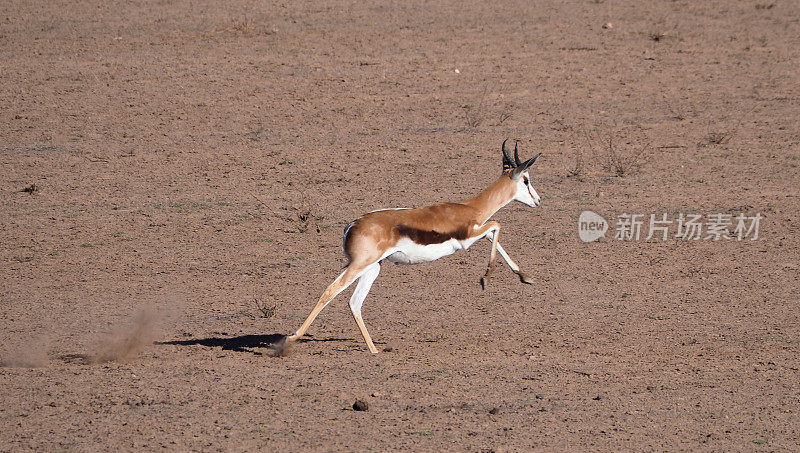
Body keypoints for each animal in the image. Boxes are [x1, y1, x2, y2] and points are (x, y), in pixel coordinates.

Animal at [284, 139, 540, 352]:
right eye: (526, 180)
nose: (538, 200)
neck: (471, 207)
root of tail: (351, 225)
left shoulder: (478, 232)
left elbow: (494, 234)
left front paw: (525, 277)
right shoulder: (468, 238)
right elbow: (496, 225)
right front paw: (485, 279)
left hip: (372, 267)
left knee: (354, 302)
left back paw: (374, 350)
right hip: (360, 265)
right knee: (330, 291)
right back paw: (291, 338)